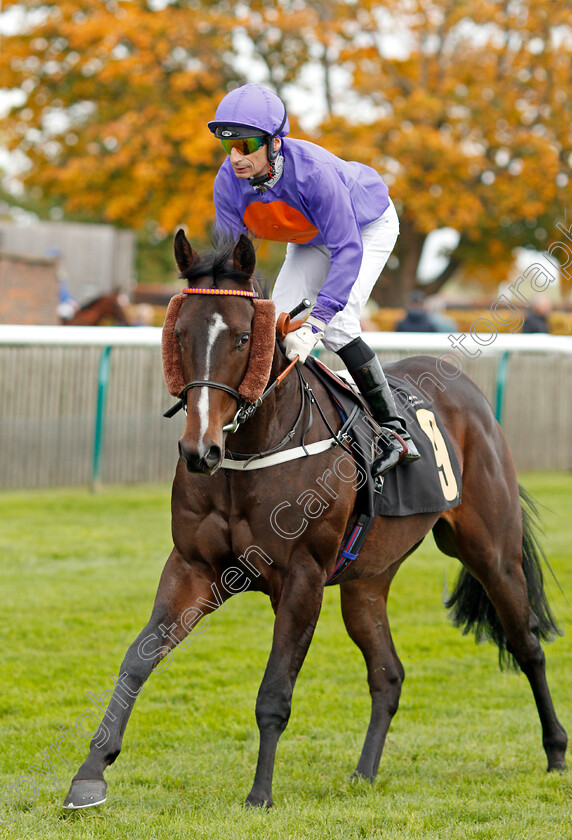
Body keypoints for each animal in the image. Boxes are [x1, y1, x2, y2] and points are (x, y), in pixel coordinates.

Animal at [61, 233, 564, 812]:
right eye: (180, 333)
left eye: (242, 338)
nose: (199, 450)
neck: (250, 452)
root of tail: (467, 389)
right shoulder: (193, 567)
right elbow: (137, 661)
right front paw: (89, 775)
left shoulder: (302, 578)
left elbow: (274, 692)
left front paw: (260, 793)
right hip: (368, 577)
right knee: (388, 674)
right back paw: (364, 773)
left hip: (491, 551)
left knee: (527, 645)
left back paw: (555, 753)